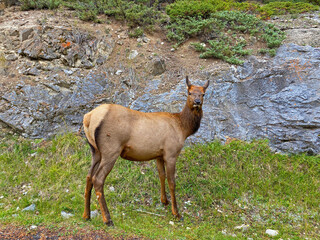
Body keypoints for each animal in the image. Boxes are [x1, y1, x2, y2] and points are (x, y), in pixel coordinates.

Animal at [81, 76, 209, 226]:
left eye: (203, 93)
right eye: (189, 92)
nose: (197, 102)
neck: (183, 128)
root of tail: (88, 118)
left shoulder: (159, 155)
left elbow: (161, 175)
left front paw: (164, 201)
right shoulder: (171, 152)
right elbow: (172, 181)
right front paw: (176, 213)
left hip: (95, 151)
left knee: (88, 176)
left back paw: (86, 215)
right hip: (111, 149)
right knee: (98, 179)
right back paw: (107, 219)